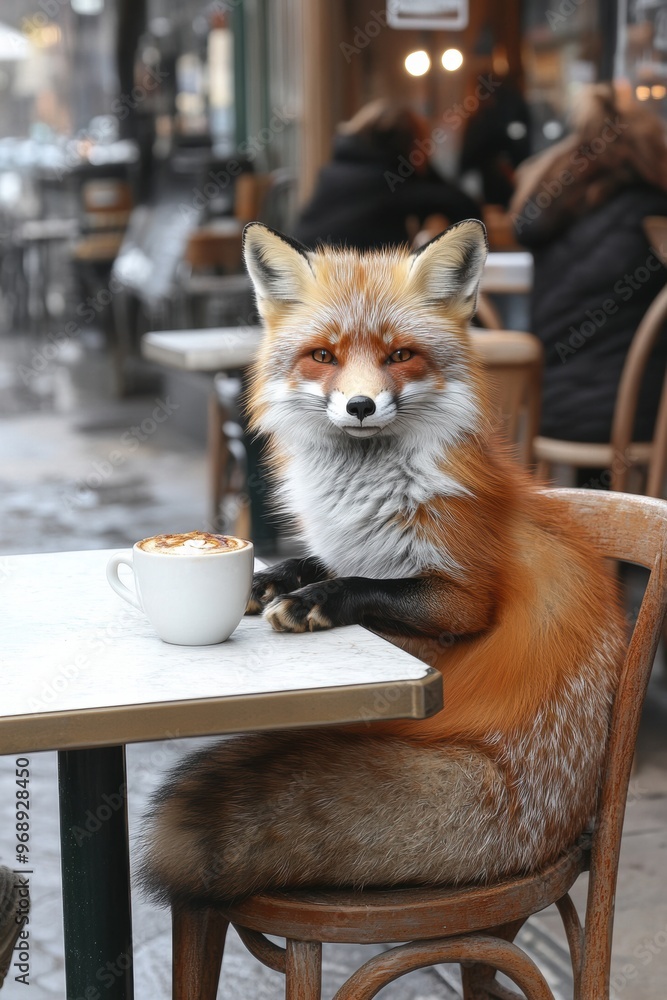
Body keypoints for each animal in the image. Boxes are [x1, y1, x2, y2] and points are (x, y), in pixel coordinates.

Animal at [141, 225, 628, 908]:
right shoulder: (342, 543)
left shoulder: (463, 597)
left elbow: (368, 583)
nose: (361, 405)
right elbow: (312, 560)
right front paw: (267, 580)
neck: (366, 498)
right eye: (323, 355)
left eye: (401, 355)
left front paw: (312, 601)